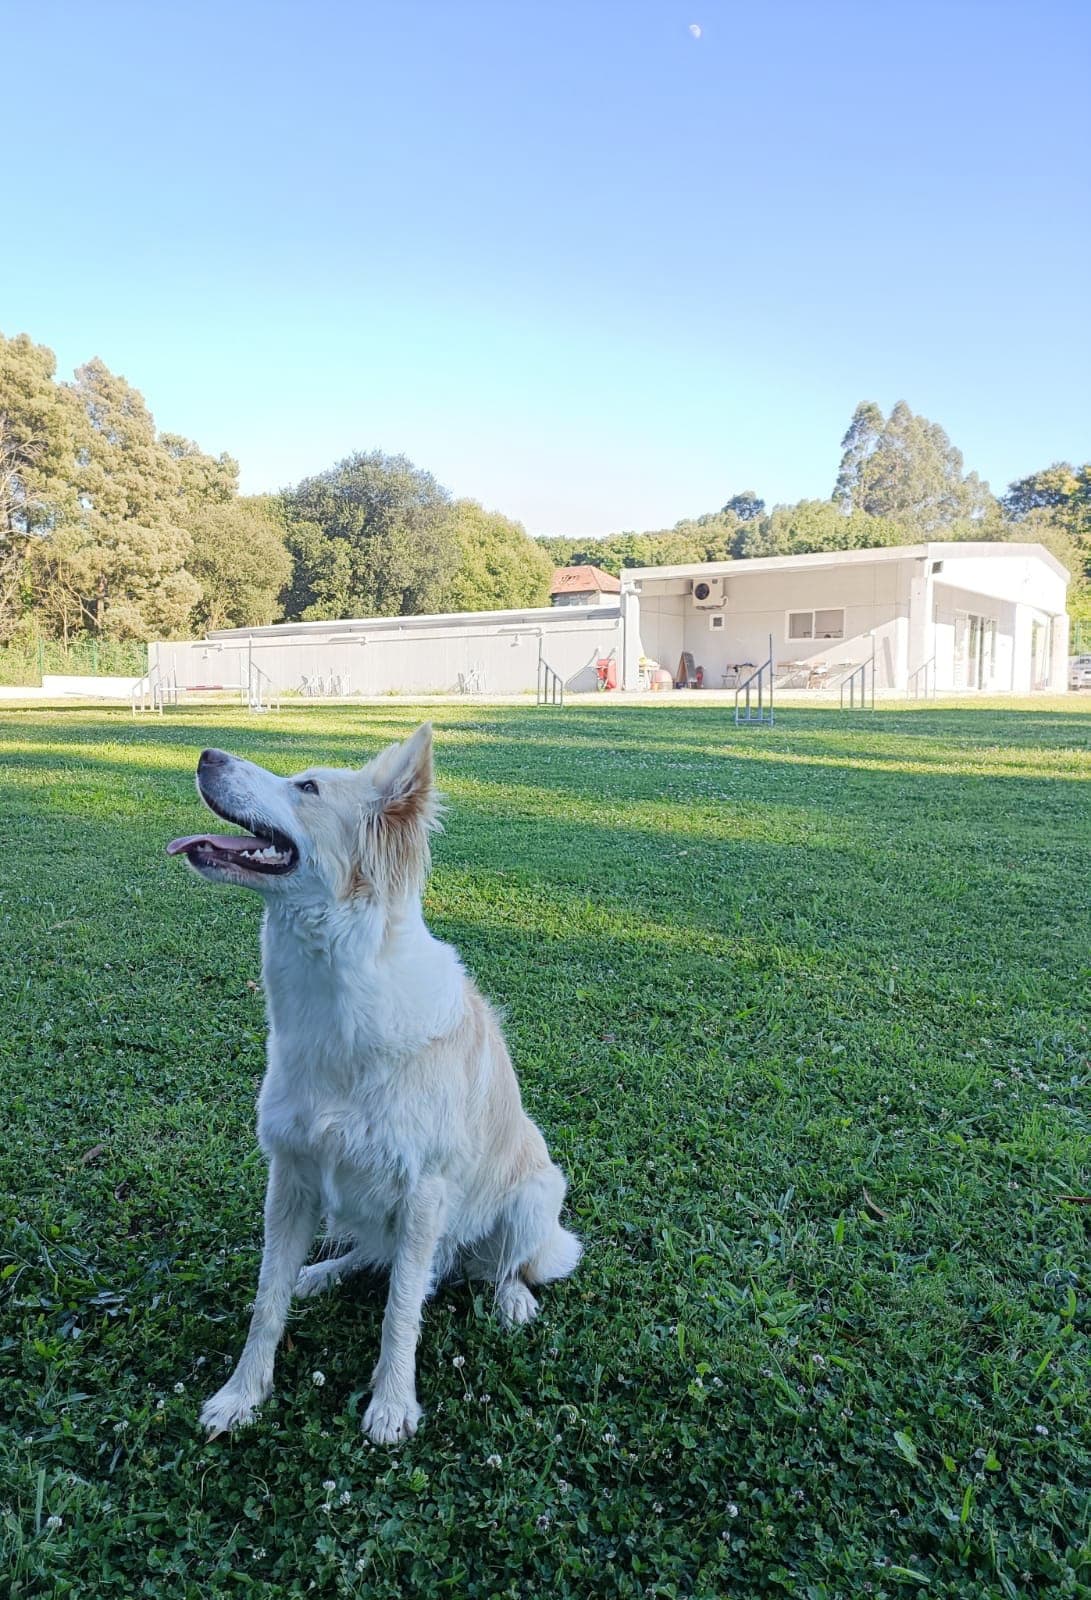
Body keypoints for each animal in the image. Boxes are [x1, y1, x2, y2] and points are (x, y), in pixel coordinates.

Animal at [167, 729, 579, 1452]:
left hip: (534, 1194)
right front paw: (243, 1395)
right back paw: (322, 1273)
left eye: (307, 787)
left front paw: (391, 1406)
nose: (206, 755)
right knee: (372, 1257)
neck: (336, 994)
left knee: (501, 1265)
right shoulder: (292, 1175)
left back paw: (511, 1299)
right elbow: (266, 1301)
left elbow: (400, 1314)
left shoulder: (423, 1194)